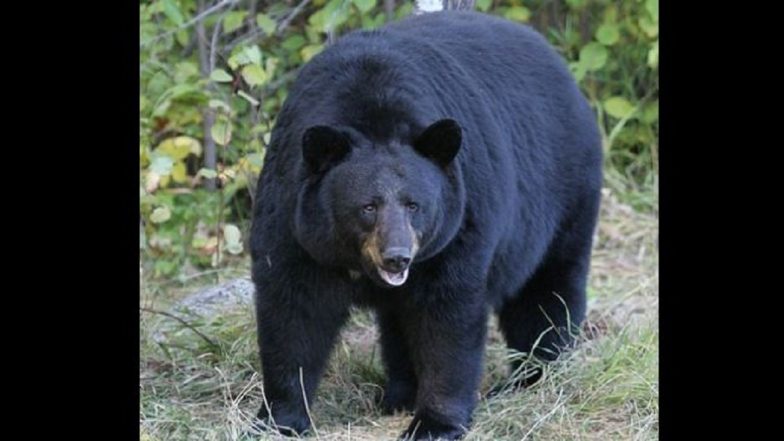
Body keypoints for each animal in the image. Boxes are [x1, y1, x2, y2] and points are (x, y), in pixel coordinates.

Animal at [249, 10, 602, 440]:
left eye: (414, 205)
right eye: (368, 206)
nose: (397, 257)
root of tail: (559, 62)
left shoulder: (459, 226)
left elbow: (447, 318)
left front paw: (434, 423)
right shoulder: (294, 220)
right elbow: (293, 311)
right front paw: (280, 418)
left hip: (563, 196)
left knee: (546, 291)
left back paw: (535, 376)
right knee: (398, 324)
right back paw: (399, 394)